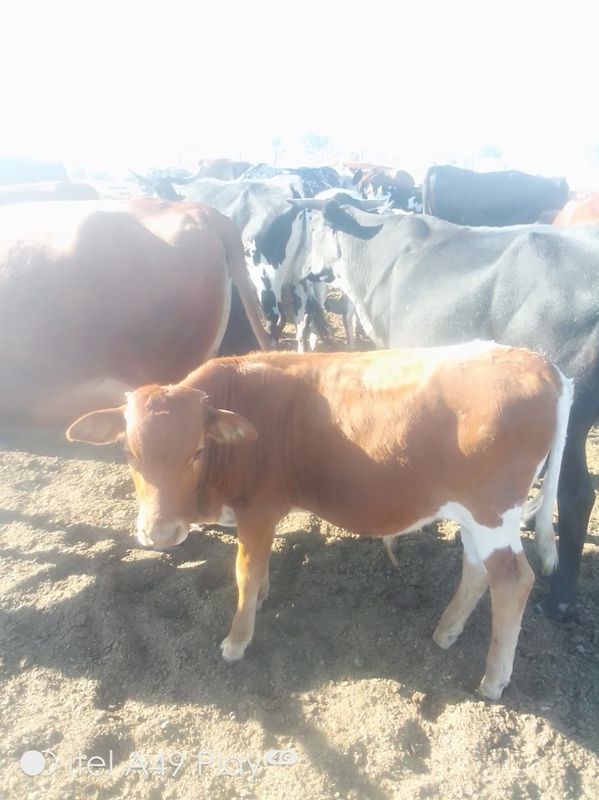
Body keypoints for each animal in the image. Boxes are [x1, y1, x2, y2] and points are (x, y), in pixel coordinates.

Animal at [68, 344, 576, 700]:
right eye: (129, 452)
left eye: (196, 450)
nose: (160, 533)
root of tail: (539, 363)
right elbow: (259, 570)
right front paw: (263, 597)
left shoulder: (258, 509)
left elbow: (244, 572)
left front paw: (237, 639)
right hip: (472, 515)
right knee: (475, 569)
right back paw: (446, 632)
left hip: (493, 514)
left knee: (513, 580)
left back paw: (493, 679)